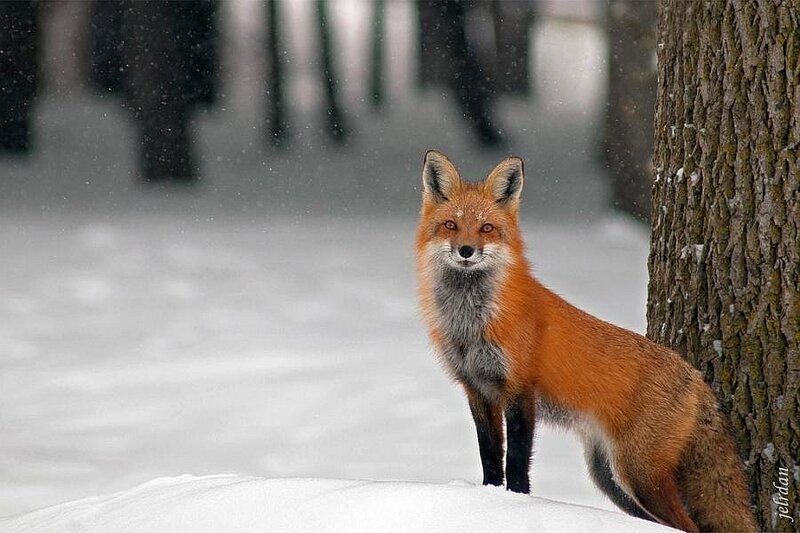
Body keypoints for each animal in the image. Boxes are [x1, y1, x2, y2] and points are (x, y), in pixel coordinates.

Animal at [415, 150, 757, 532]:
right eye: (450, 225)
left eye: (486, 228)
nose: (466, 250)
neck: (471, 324)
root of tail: (695, 376)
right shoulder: (477, 389)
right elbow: (490, 456)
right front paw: (489, 498)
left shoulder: (520, 390)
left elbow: (516, 464)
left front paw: (518, 507)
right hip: (610, 479)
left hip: (639, 476)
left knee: (687, 526)